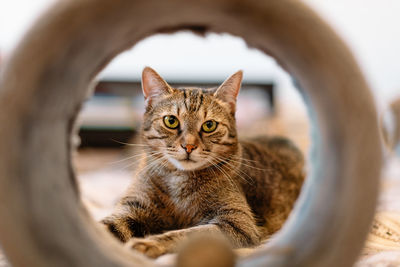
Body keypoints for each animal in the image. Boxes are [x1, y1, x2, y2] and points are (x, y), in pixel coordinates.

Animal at [101, 67, 304, 260]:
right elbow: (107, 226)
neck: (179, 182)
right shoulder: (134, 207)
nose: (189, 146)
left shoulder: (237, 222)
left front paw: (149, 243)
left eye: (209, 125)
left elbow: (187, 234)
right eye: (171, 121)